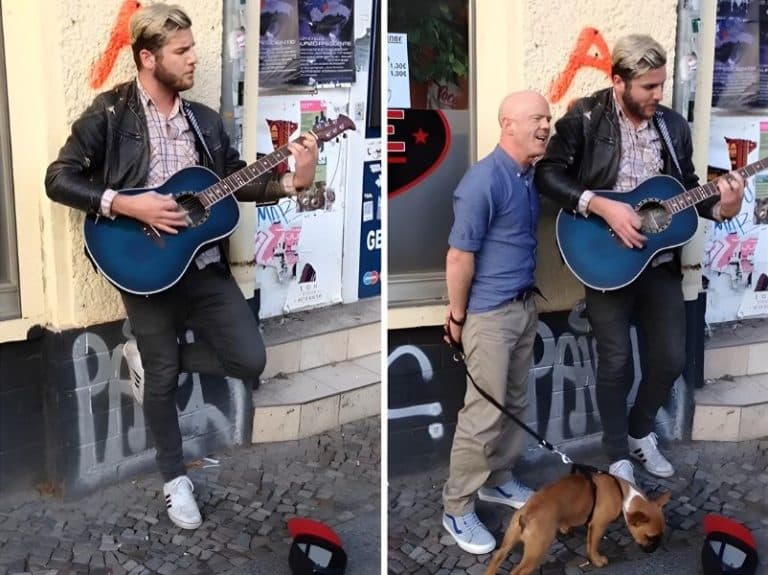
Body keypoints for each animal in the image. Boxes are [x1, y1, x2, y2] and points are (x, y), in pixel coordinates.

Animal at [484, 468, 668, 575]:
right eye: (650, 537)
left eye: (661, 536)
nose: (655, 549)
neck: (624, 494)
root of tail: (527, 514)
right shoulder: (598, 526)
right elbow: (593, 546)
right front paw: (597, 560)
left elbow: (569, 523)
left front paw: (566, 528)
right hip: (536, 551)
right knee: (518, 571)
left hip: (510, 537)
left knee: (497, 557)